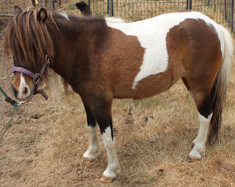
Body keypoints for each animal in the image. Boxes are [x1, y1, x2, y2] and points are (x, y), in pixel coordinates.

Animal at [3, 6, 233, 183]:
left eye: (35, 46)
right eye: (13, 47)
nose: (20, 90)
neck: (87, 47)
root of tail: (214, 25)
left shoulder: (101, 103)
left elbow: (108, 137)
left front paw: (111, 171)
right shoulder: (87, 99)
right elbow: (91, 127)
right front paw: (91, 154)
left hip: (200, 84)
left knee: (206, 115)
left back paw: (196, 152)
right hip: (191, 84)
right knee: (205, 114)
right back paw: (196, 143)